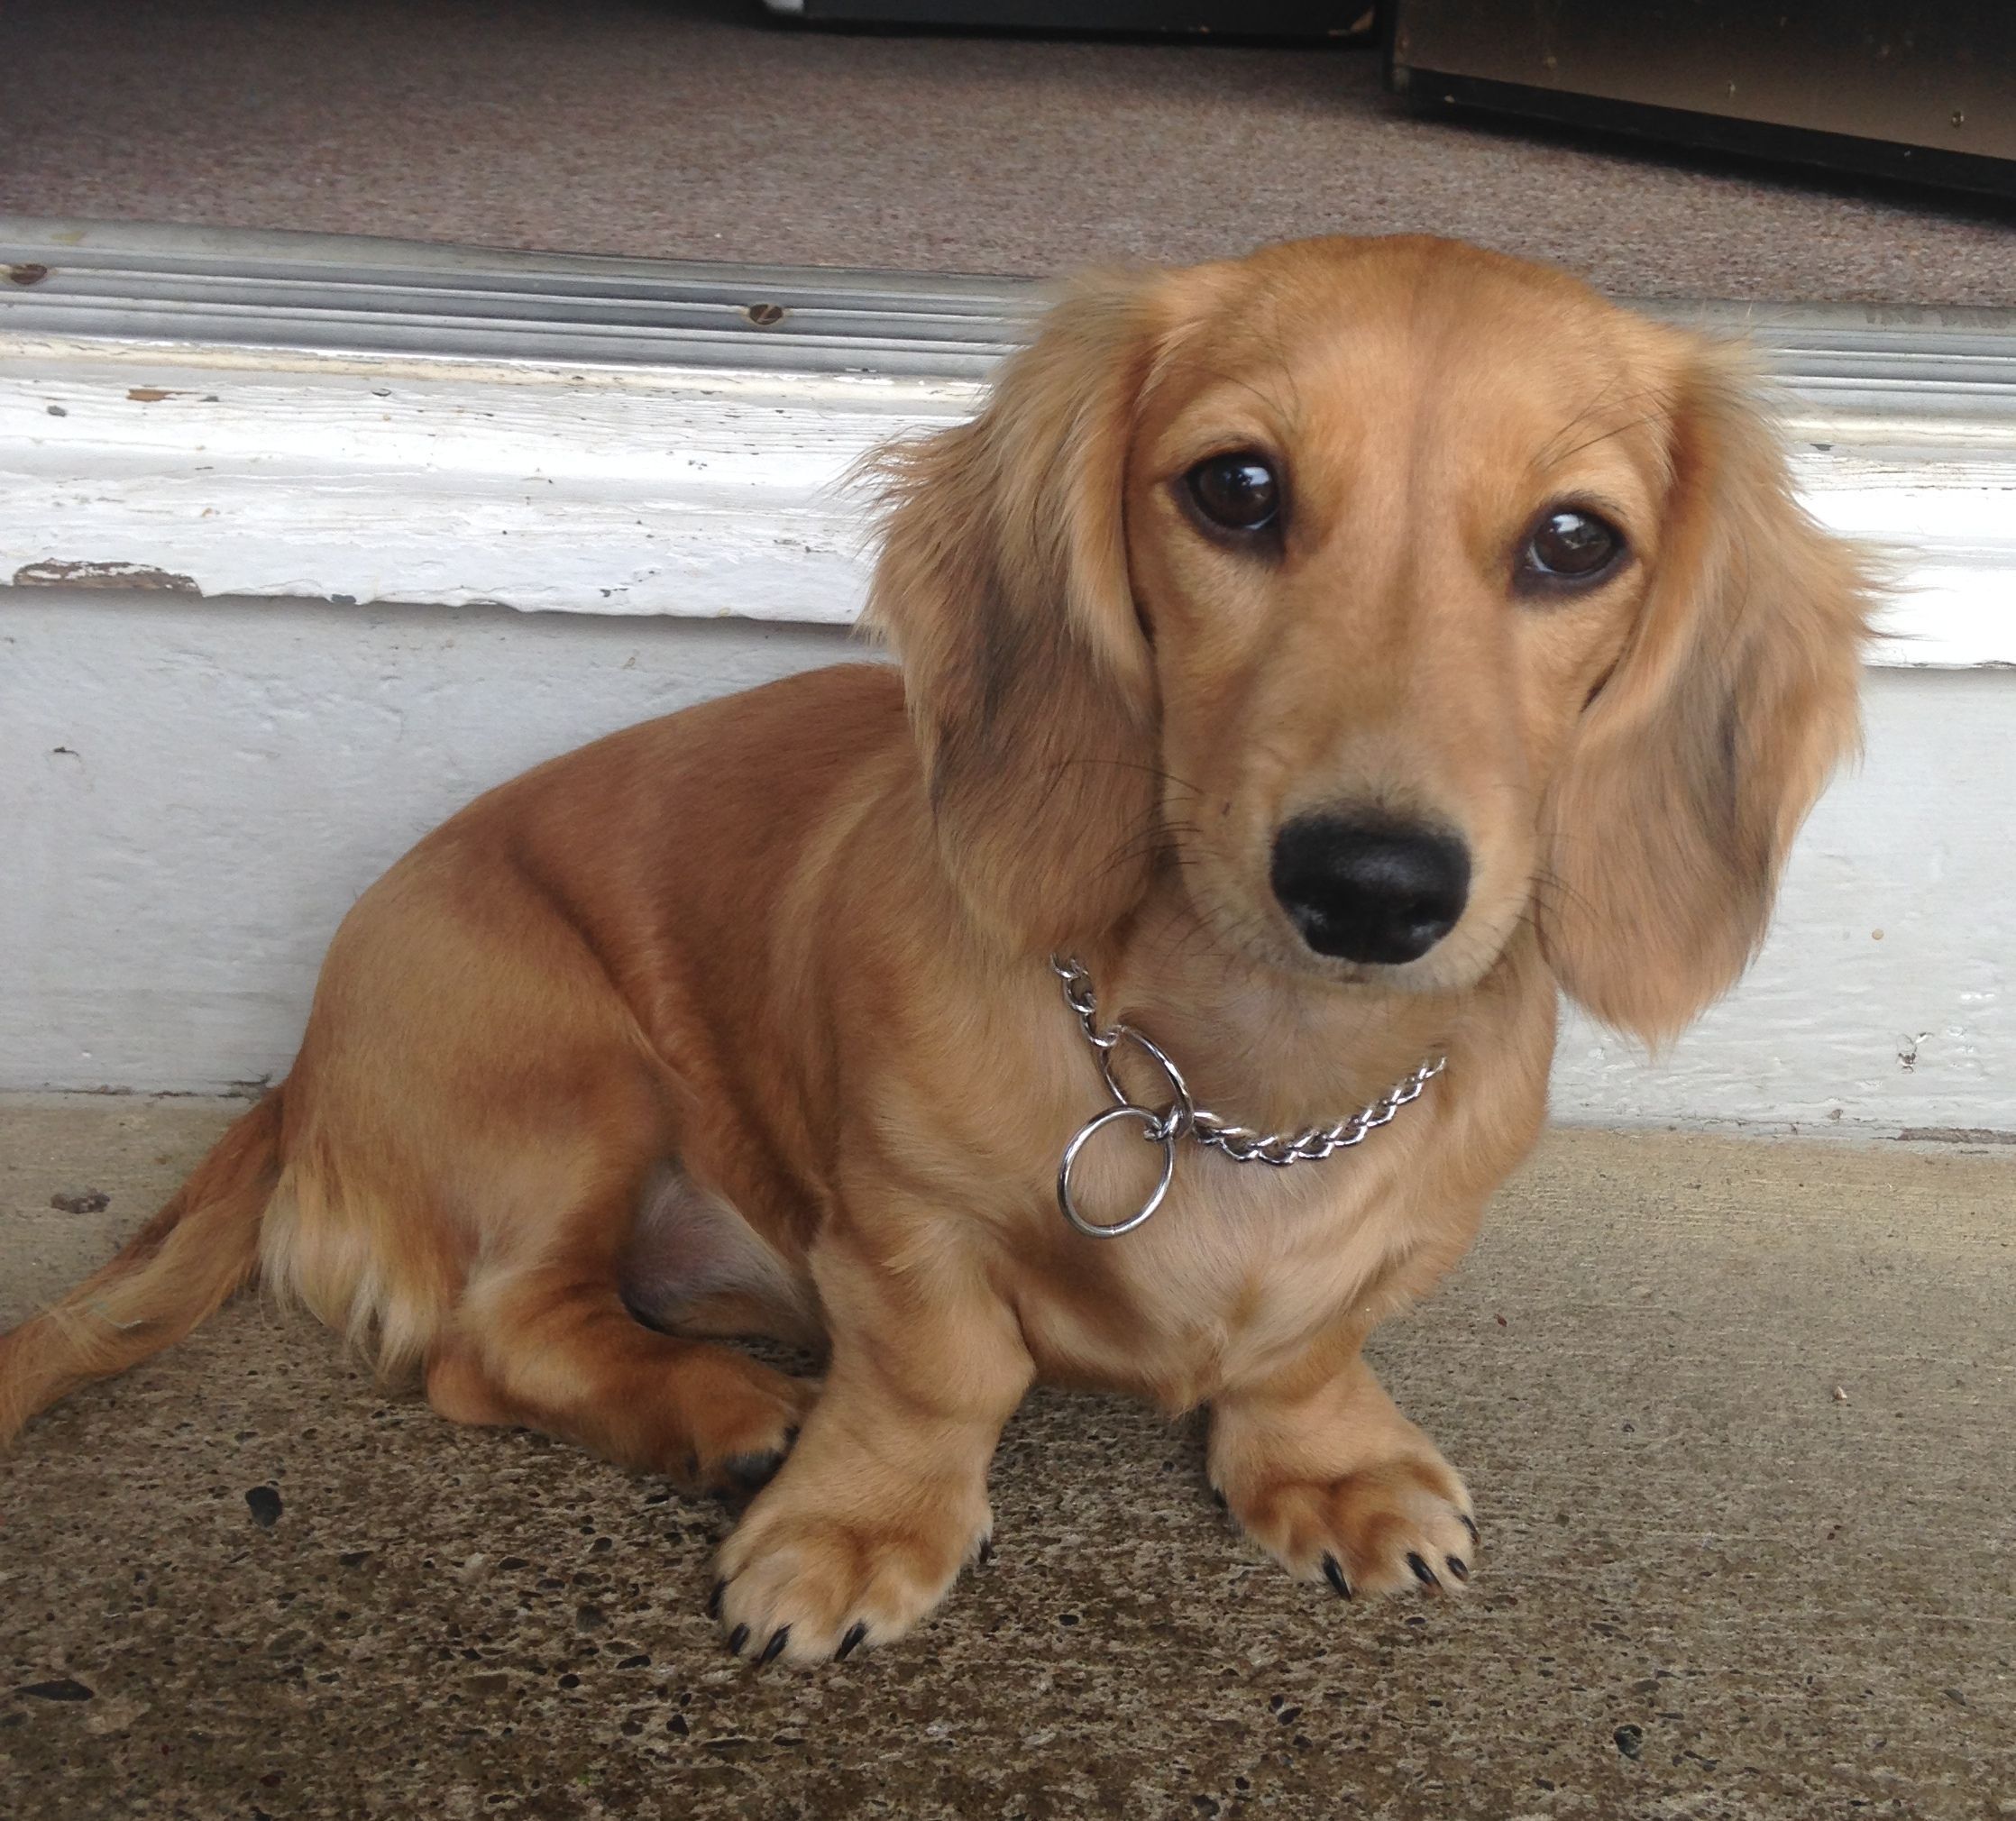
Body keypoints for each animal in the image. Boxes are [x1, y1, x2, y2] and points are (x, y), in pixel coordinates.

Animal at [0, 239, 1863, 1670]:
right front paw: (853, 1521)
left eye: (1574, 541)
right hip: (568, 1080)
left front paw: (1327, 1462)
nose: (1372, 884)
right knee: (495, 1339)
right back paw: (720, 1412)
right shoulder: (897, 1225)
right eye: (1237, 489)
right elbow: (939, 1374)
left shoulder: (1399, 1241)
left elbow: (1306, 1348)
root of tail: (299, 1070)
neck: (1241, 1080)